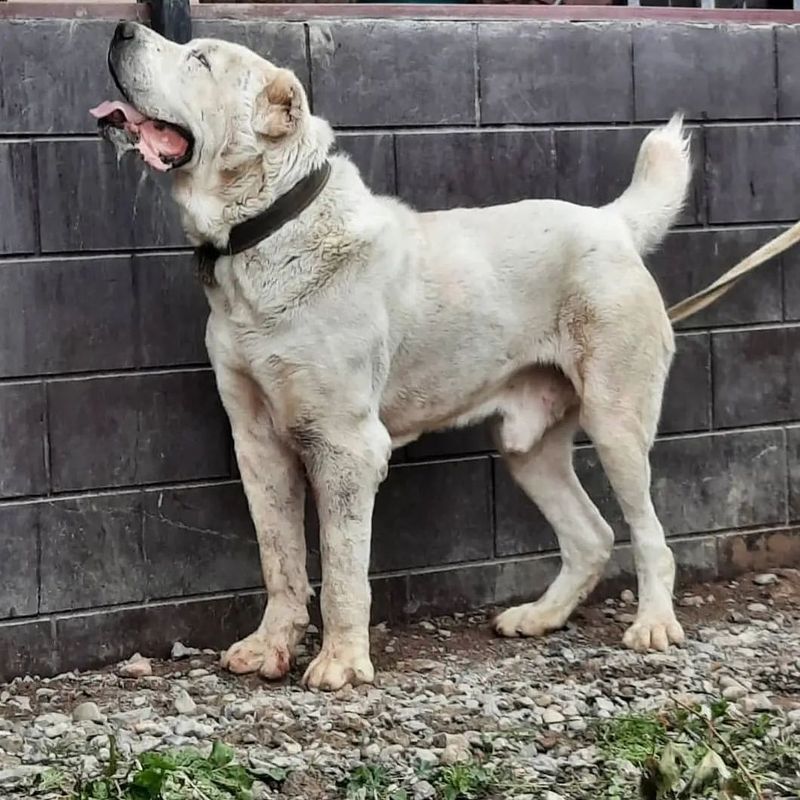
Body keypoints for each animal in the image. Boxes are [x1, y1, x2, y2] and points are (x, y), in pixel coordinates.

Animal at [94, 21, 692, 692]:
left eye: (198, 59)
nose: (121, 28)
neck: (267, 233)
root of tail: (612, 223)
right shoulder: (257, 444)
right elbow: (280, 559)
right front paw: (270, 647)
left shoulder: (346, 446)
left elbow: (341, 567)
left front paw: (341, 662)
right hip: (527, 446)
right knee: (592, 535)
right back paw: (538, 616)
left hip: (616, 422)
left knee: (649, 533)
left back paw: (653, 626)